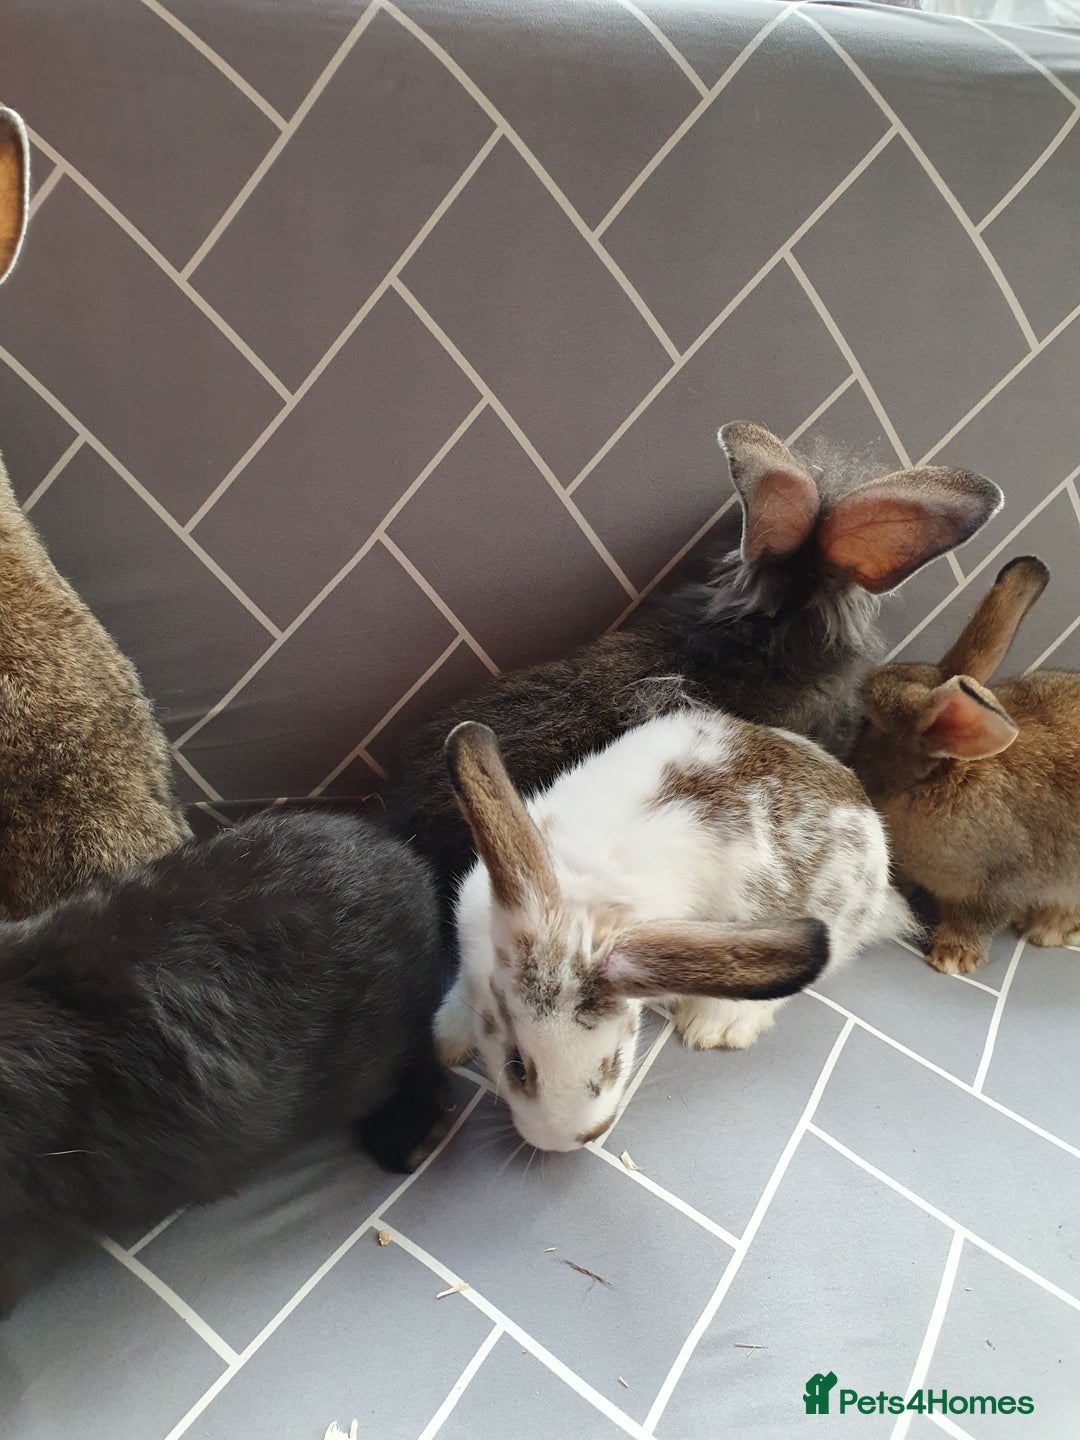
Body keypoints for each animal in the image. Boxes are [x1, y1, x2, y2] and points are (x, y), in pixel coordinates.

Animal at [436, 711, 912, 1152]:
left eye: (614, 1060)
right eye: (517, 1065)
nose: (572, 1140)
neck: (581, 900)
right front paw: (446, 1040)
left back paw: (715, 1024)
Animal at [851, 554, 1080, 975]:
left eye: (870, 724)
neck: (941, 780)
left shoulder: (1003, 882)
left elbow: (976, 920)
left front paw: (951, 957)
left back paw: (1048, 928)